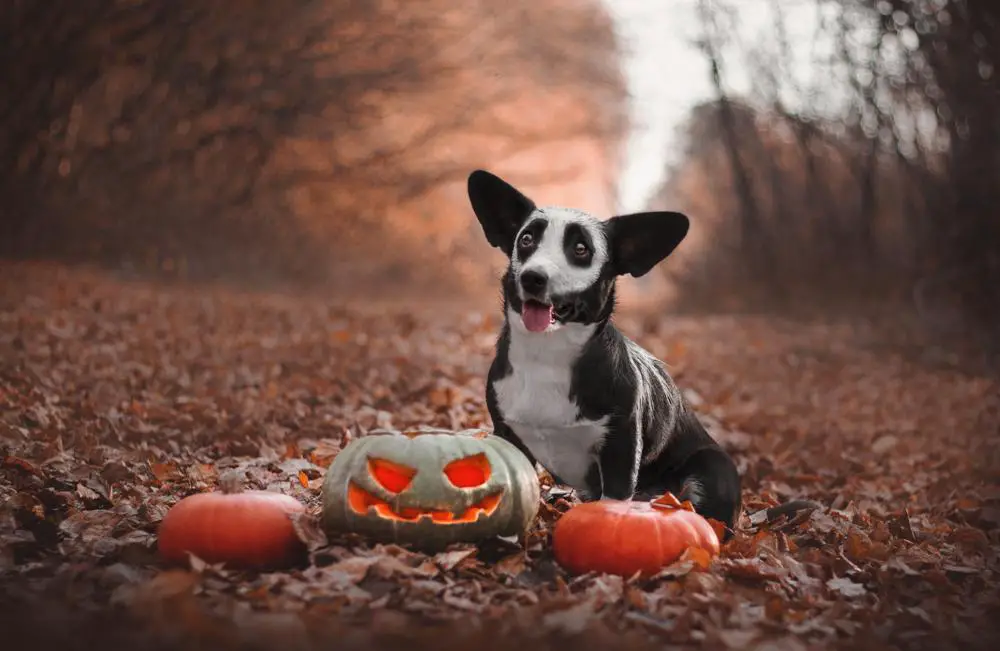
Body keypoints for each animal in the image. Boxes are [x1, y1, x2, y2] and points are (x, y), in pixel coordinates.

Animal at [468, 168, 744, 536]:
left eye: (581, 249)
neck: (547, 353)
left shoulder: (620, 448)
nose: (532, 278)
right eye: (526, 240)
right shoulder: (508, 434)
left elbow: (612, 504)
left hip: (711, 471)